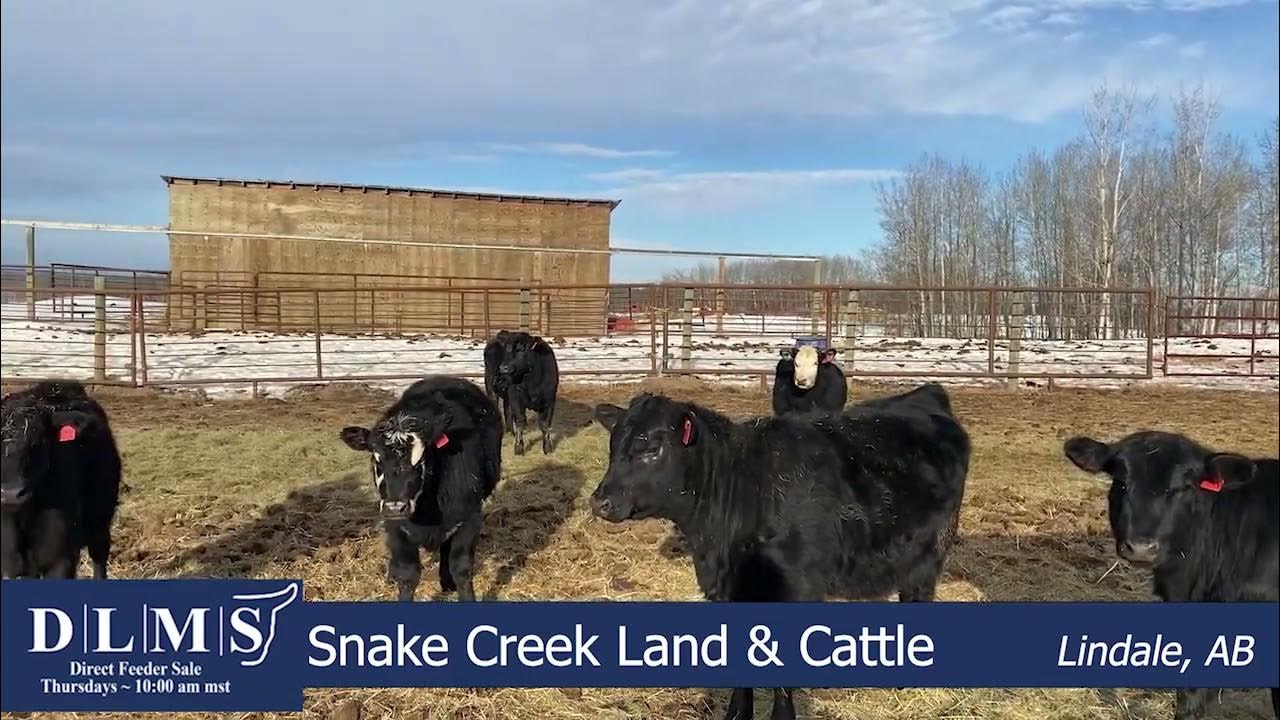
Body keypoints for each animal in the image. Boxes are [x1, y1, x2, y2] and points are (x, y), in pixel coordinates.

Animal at [340, 376, 502, 602]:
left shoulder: (469, 517)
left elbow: (461, 568)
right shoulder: (396, 527)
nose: (395, 506)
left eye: (419, 461)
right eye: (377, 461)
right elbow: (407, 574)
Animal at [591, 387, 970, 720]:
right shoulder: (730, 593)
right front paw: (737, 713)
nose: (600, 501)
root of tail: (924, 395)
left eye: (652, 448)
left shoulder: (795, 590)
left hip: (929, 554)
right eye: (613, 445)